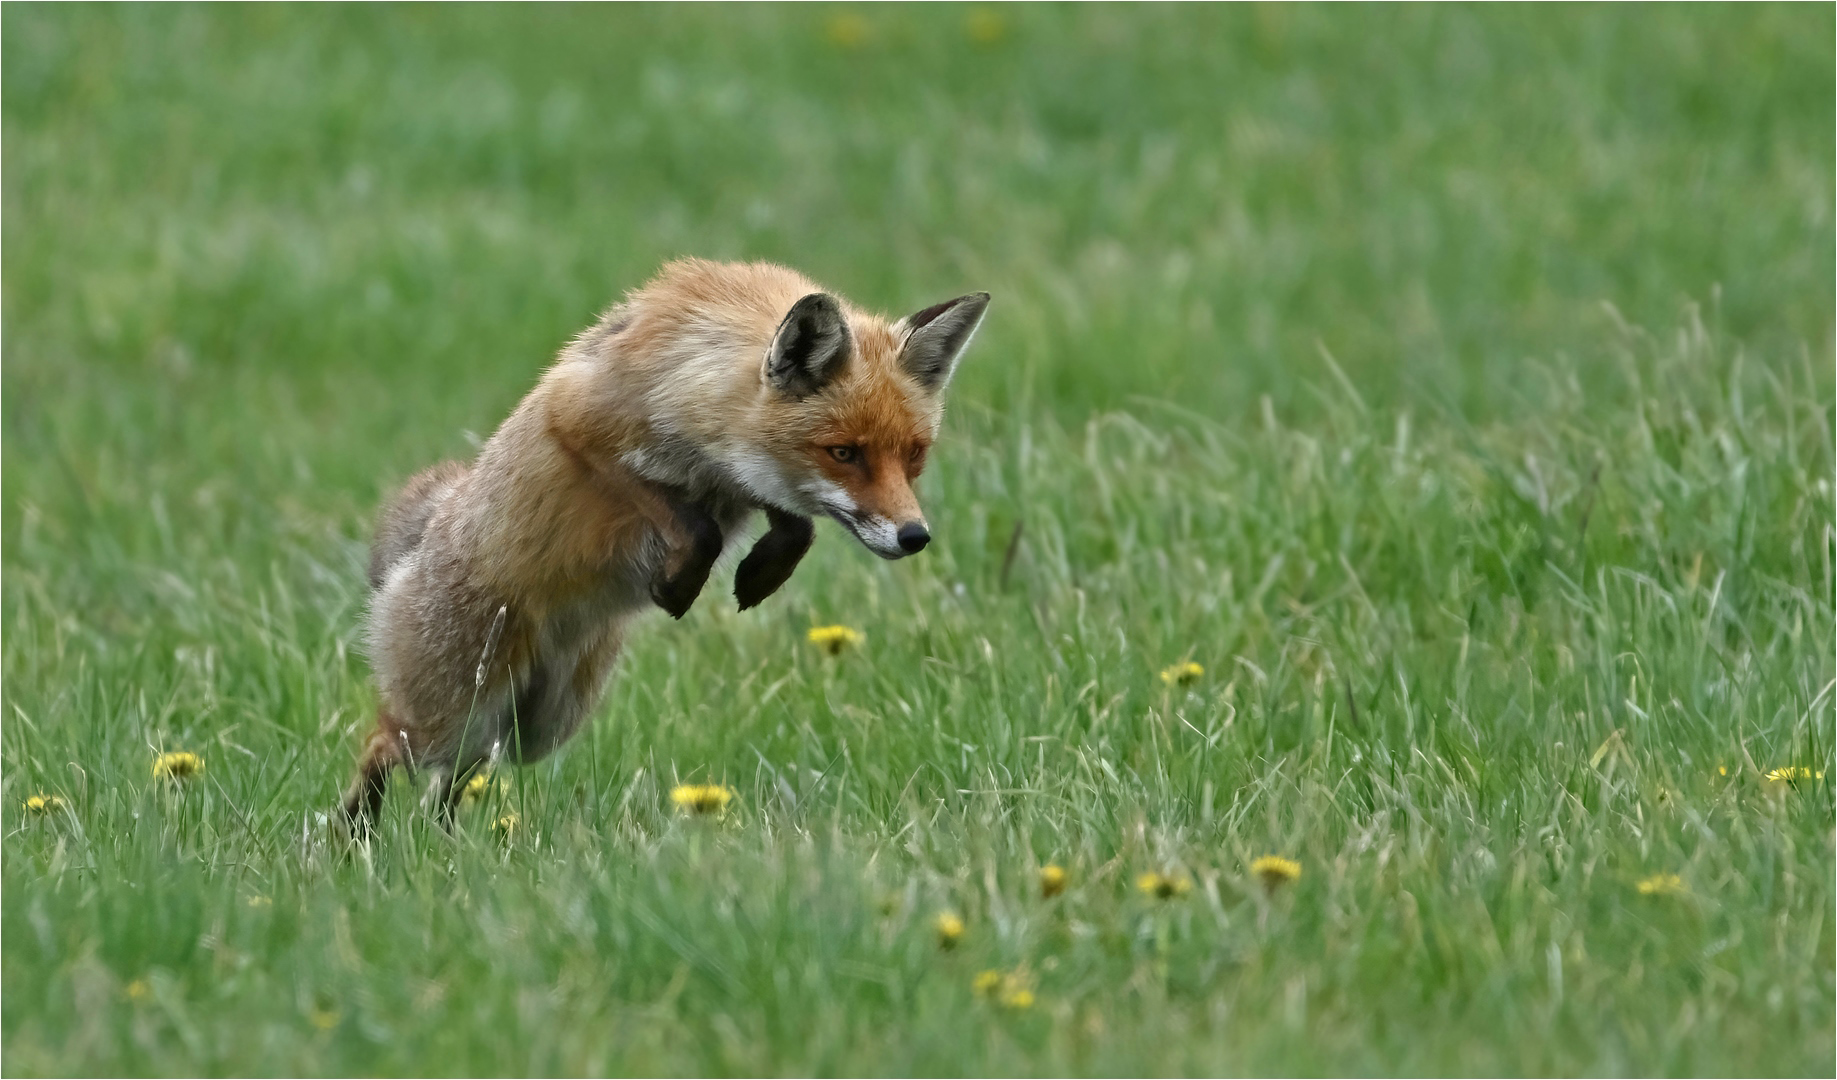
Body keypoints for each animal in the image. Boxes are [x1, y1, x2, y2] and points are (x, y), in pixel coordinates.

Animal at [343, 257, 991, 830]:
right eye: (844, 453)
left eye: (914, 455)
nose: (915, 536)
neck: (692, 373)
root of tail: (414, 549)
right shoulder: (578, 421)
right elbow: (692, 523)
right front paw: (678, 585)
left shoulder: (739, 476)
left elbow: (792, 522)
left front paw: (761, 572)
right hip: (458, 706)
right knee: (384, 741)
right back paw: (350, 841)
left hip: (537, 724)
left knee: (446, 787)